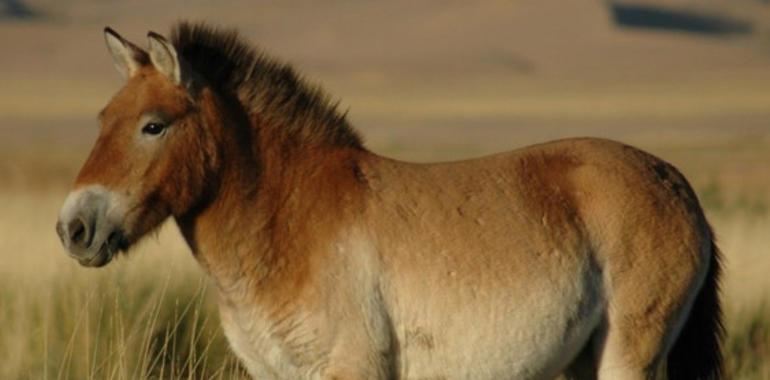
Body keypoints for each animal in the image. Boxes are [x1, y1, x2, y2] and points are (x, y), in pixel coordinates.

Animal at [57, 22, 724, 378]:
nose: (73, 229)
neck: (287, 221)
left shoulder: (353, 366)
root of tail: (673, 182)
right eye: (101, 120)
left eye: (153, 126)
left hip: (628, 354)